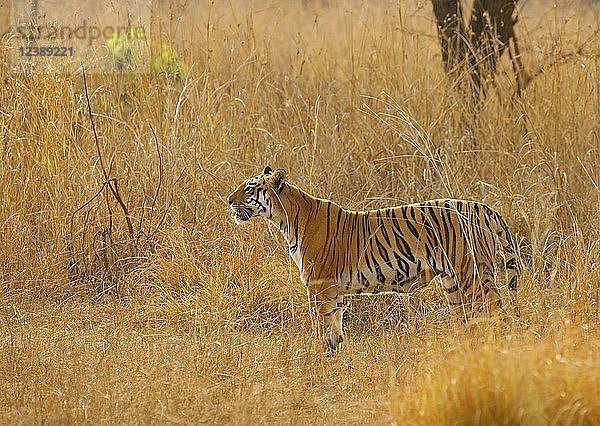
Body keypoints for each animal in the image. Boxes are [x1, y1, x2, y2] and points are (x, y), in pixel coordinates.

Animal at [227, 165, 516, 352]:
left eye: (250, 188)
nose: (228, 200)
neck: (287, 219)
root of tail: (482, 207)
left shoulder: (319, 287)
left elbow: (322, 329)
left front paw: (318, 361)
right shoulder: (335, 293)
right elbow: (335, 332)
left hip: (472, 273)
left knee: (496, 308)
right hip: (453, 282)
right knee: (468, 319)